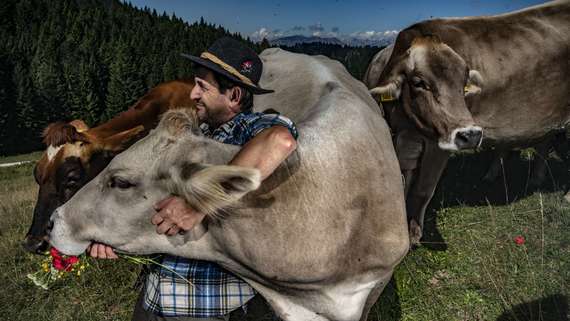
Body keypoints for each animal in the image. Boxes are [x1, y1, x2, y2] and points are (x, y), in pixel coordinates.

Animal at [364, 0, 568, 242]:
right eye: (418, 82)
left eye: (464, 84)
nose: (471, 134)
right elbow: (403, 182)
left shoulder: (437, 145)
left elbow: (423, 189)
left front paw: (413, 233)